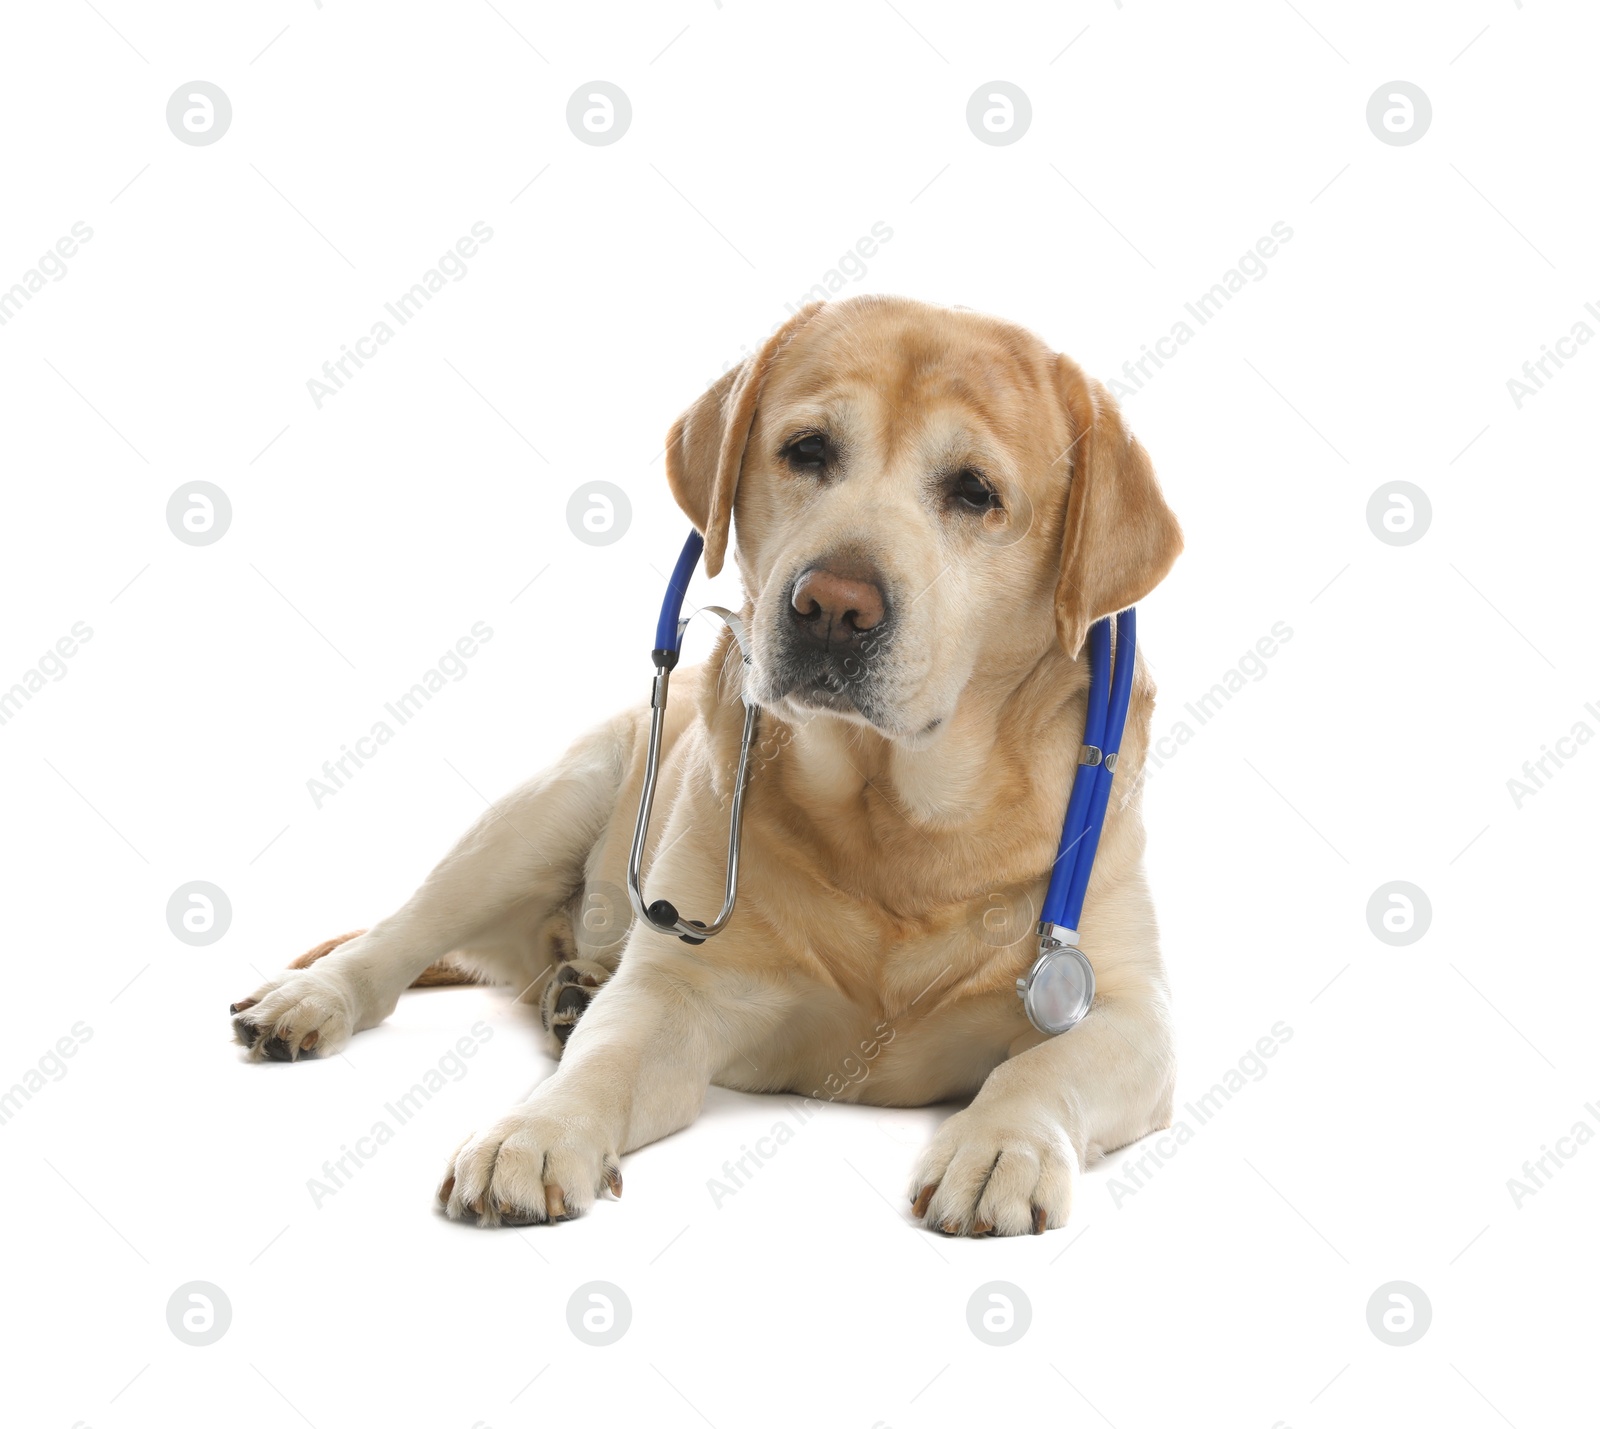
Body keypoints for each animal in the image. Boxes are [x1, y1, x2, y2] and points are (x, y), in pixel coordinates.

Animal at [228, 296, 1177, 1235]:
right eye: (808, 450)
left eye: (976, 492)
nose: (832, 606)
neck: (894, 819)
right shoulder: (673, 993)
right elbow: (605, 1058)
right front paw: (537, 1129)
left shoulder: (1128, 1017)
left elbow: (1039, 1066)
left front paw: (1000, 1145)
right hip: (542, 811)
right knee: (400, 936)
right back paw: (315, 999)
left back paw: (569, 985)